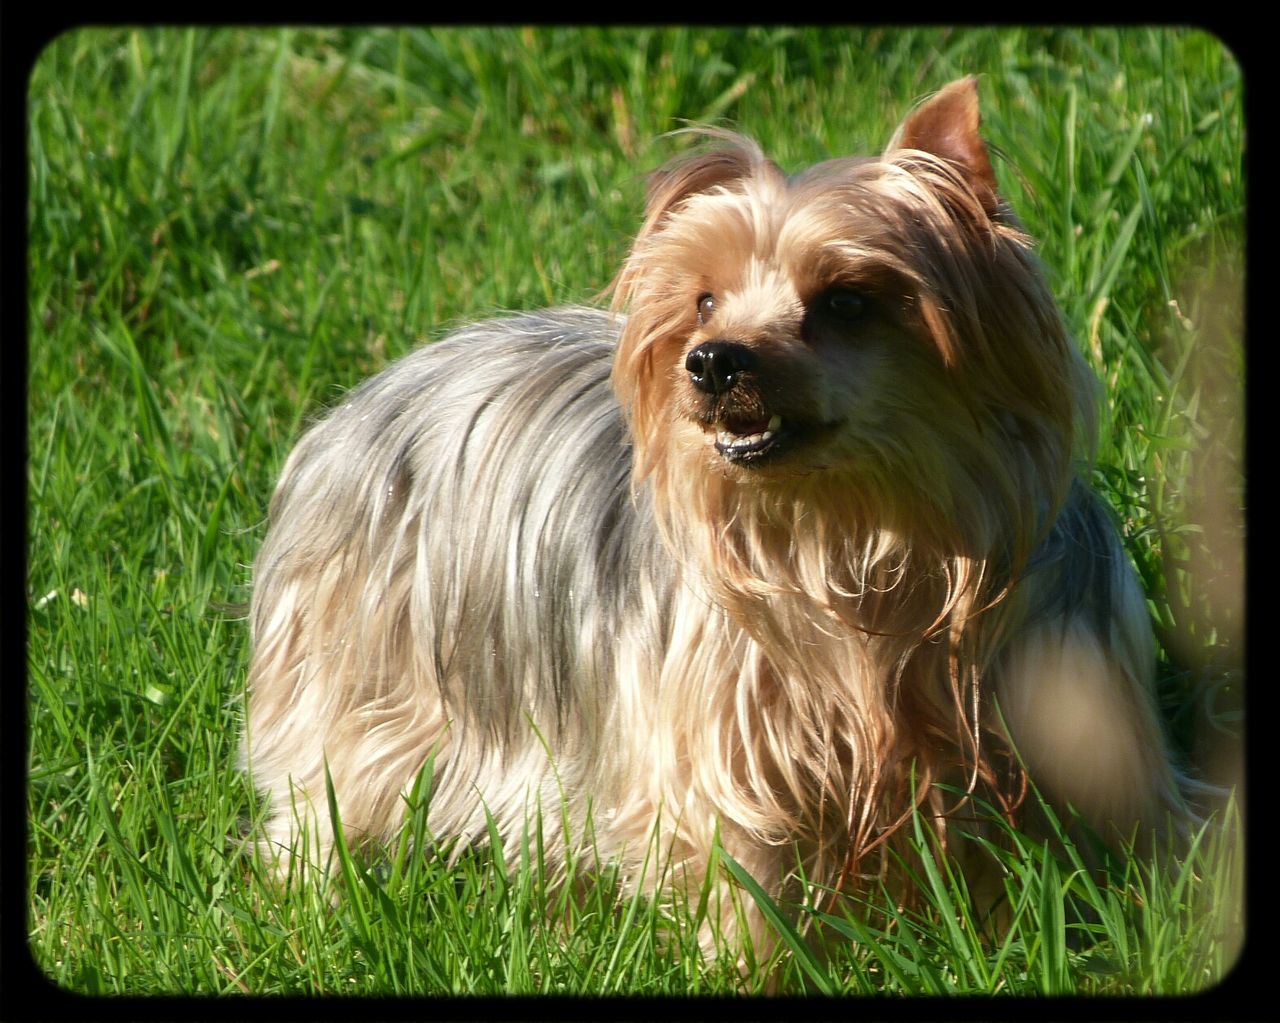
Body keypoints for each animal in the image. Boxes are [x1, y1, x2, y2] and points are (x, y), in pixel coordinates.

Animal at [241, 76, 1187, 947]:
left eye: (847, 299)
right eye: (702, 300)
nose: (711, 360)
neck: (853, 531)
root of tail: (367, 394)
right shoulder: (726, 746)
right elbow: (743, 871)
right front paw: (754, 964)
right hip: (364, 673)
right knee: (324, 790)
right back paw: (317, 894)